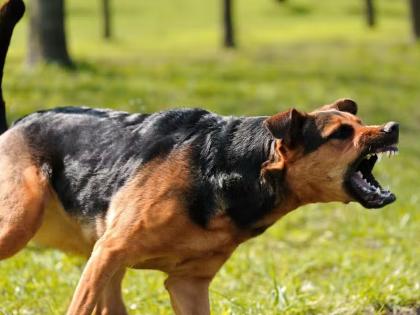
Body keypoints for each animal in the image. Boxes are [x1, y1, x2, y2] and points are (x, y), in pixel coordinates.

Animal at [0, 1, 400, 314]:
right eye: (341, 134)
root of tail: (15, 124)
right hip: (22, 224)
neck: (229, 168)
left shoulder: (187, 283)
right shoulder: (111, 252)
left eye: (359, 123)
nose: (393, 127)